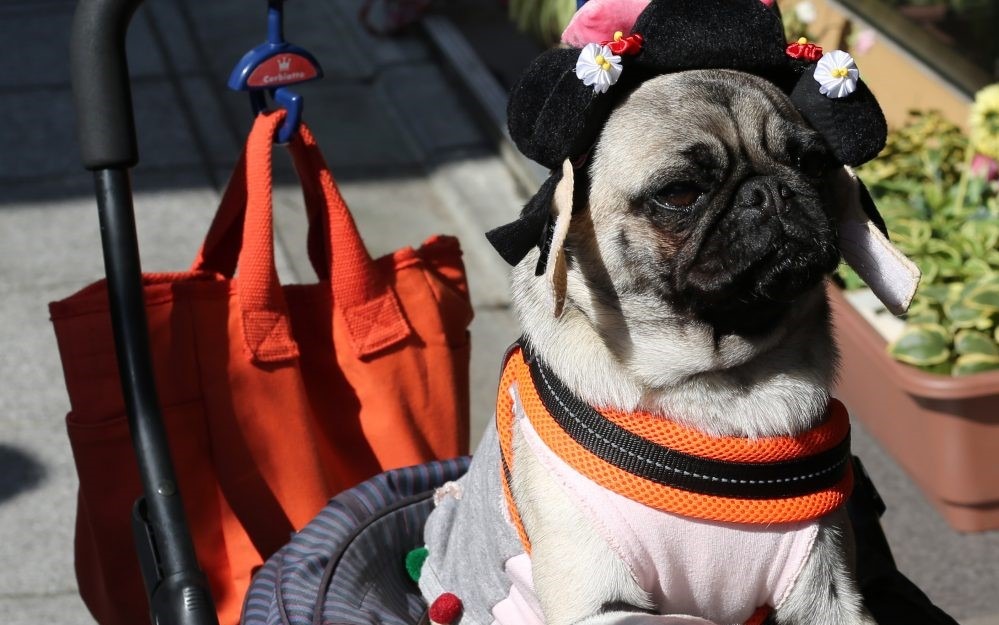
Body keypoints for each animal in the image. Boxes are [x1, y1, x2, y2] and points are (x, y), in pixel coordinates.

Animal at [418, 62, 916, 625]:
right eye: (679, 193)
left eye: (811, 164)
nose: (772, 191)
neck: (726, 386)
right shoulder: (600, 605)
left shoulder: (827, 593)